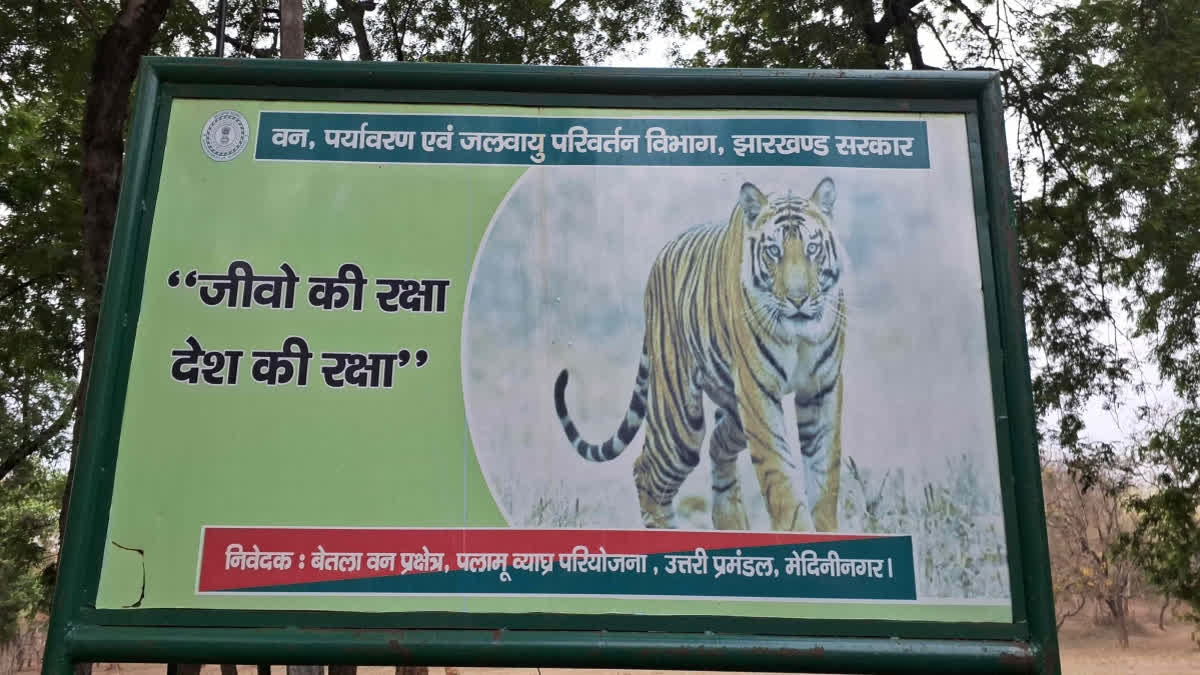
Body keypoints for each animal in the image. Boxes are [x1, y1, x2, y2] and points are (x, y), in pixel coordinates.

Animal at [553, 178, 846, 532]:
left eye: (812, 249)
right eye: (773, 251)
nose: (798, 299)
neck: (798, 335)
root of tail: (659, 258)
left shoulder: (821, 389)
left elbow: (825, 476)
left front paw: (828, 530)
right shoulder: (759, 393)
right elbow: (780, 475)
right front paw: (797, 530)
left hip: (732, 407)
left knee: (718, 445)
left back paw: (732, 523)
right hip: (680, 422)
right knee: (646, 471)